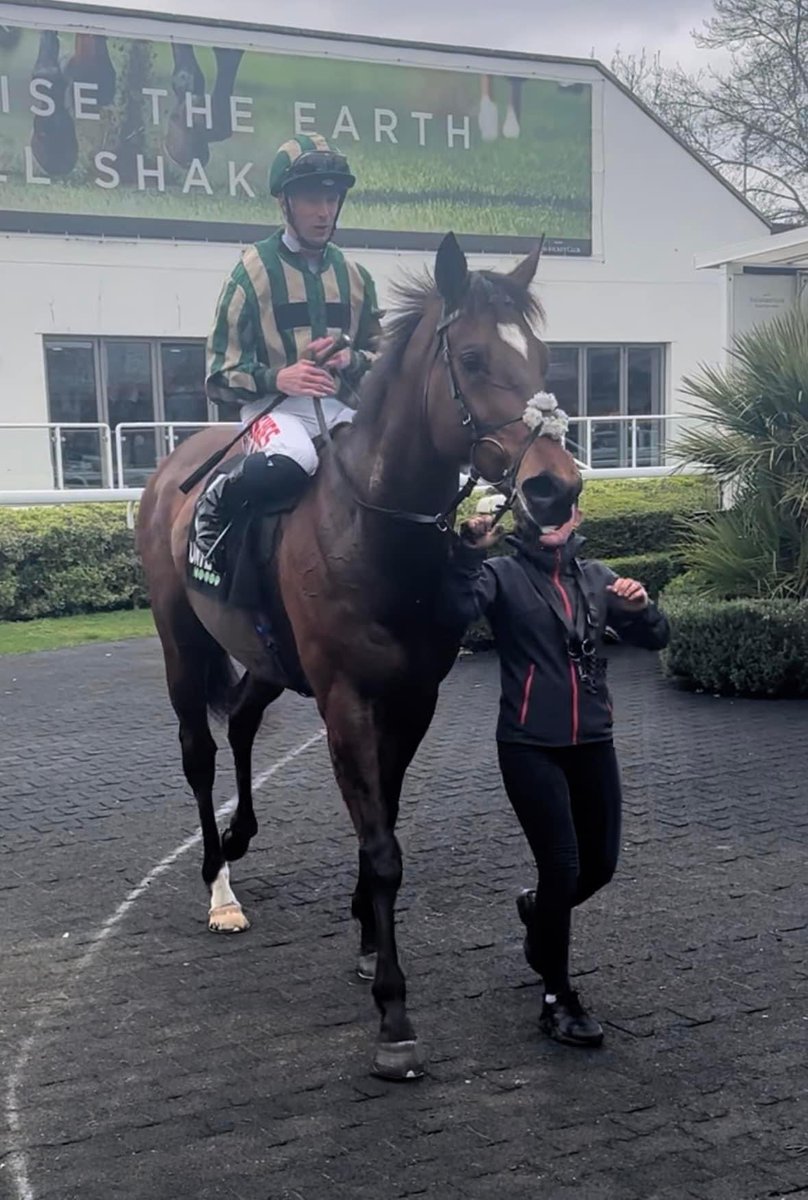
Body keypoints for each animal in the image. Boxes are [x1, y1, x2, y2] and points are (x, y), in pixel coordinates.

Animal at [137, 233, 582, 1079]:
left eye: (544, 357)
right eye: (472, 357)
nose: (555, 489)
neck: (374, 532)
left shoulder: (415, 697)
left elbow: (389, 820)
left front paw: (368, 935)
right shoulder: (346, 700)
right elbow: (382, 847)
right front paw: (393, 1012)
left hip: (268, 662)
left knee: (242, 723)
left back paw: (240, 837)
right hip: (179, 642)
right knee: (198, 752)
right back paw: (220, 886)